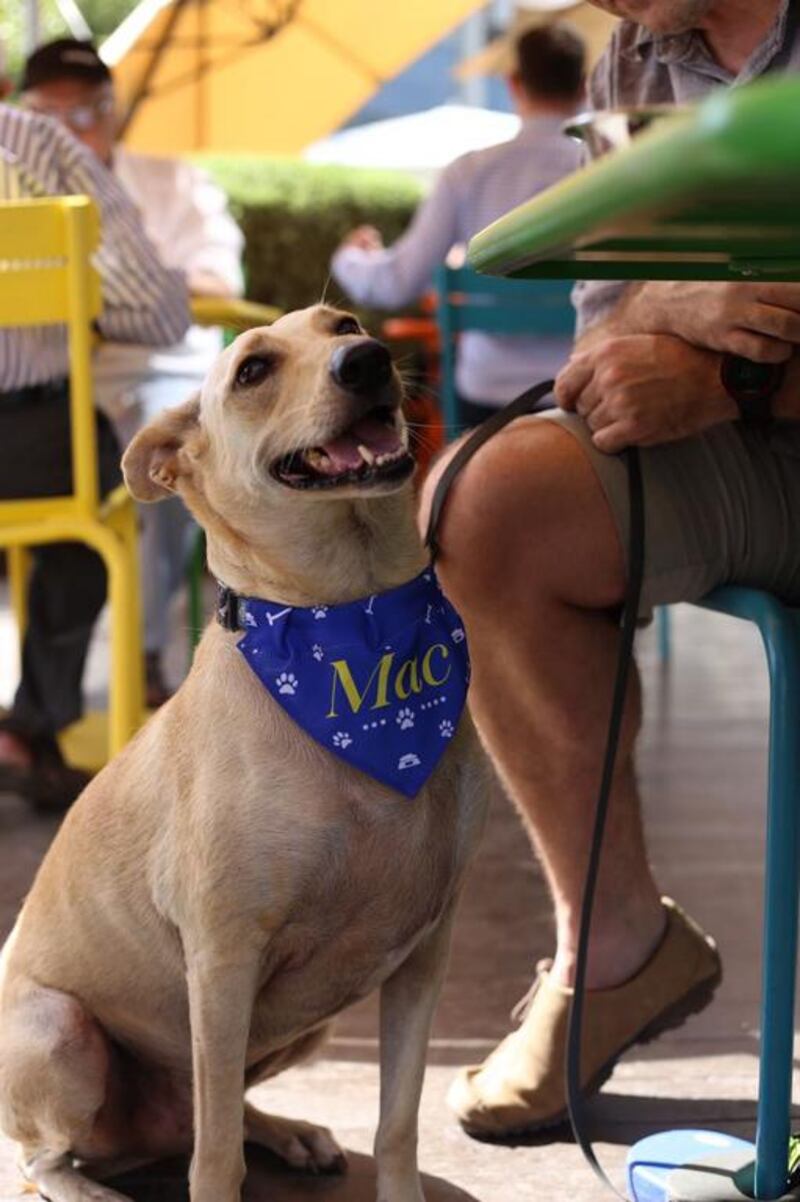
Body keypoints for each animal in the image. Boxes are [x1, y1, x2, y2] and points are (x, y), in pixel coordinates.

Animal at [0, 307, 485, 1202]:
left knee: (207, 1113)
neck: (351, 624)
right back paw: (95, 1187)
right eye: (253, 370)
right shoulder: (223, 960)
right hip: (60, 1032)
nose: (366, 360)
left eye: (344, 322)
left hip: (304, 1029)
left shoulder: (424, 952)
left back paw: (287, 1131)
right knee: (53, 1156)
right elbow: (216, 1156)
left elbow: (397, 1124)